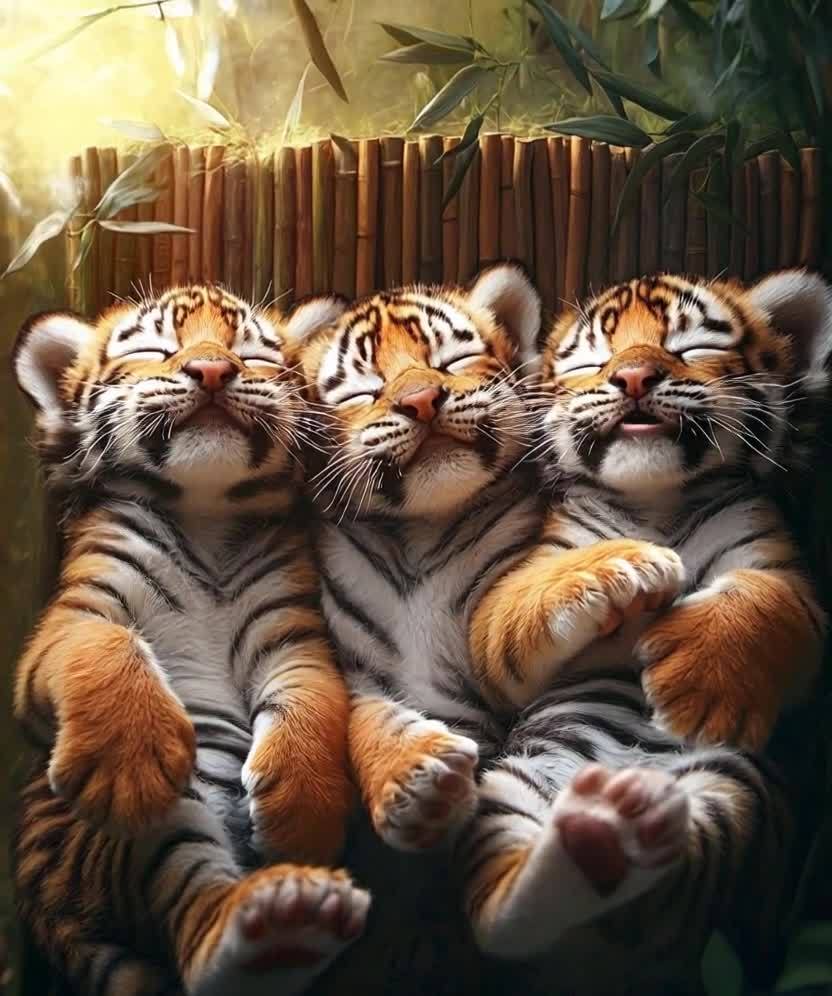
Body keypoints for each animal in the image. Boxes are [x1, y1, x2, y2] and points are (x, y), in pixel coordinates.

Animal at [11, 285, 369, 996]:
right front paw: (126, 763)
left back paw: (287, 922)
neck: (205, 513)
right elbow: (107, 647)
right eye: (156, 350)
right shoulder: (73, 617)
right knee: (193, 908)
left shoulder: (292, 631)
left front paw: (304, 812)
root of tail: (44, 898)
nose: (211, 370)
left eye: (251, 352)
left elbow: (313, 700)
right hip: (158, 823)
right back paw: (278, 928)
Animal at [290, 264, 827, 994]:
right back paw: (594, 835)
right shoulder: (410, 652)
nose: (423, 400)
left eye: (450, 362)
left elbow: (764, 593)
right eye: (365, 389)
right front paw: (417, 782)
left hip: (727, 788)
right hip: (512, 792)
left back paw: (621, 821)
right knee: (502, 918)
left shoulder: (781, 563)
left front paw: (700, 691)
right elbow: (374, 715)